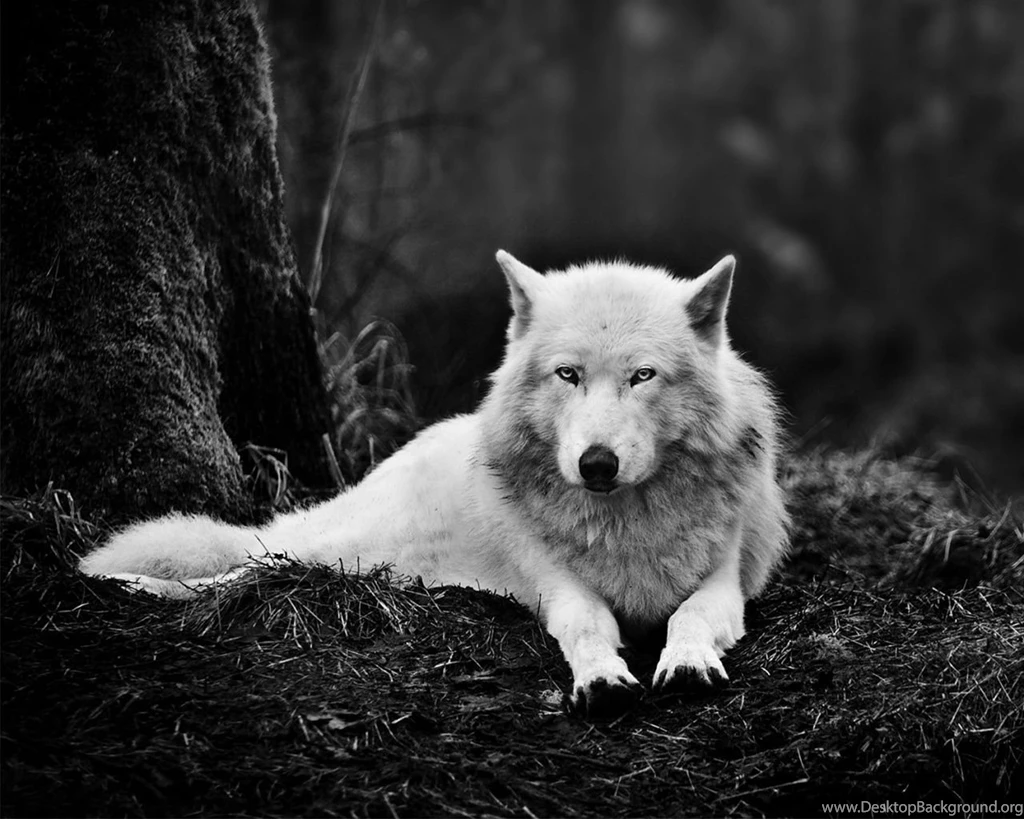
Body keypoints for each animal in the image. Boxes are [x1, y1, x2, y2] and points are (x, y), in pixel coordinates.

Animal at [81, 250, 789, 717]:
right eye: (568, 375)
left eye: (643, 376)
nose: (596, 464)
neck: (624, 521)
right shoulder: (560, 589)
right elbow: (587, 627)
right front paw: (600, 679)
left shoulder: (724, 584)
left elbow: (690, 615)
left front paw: (687, 661)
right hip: (335, 551)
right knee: (239, 568)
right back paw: (121, 581)